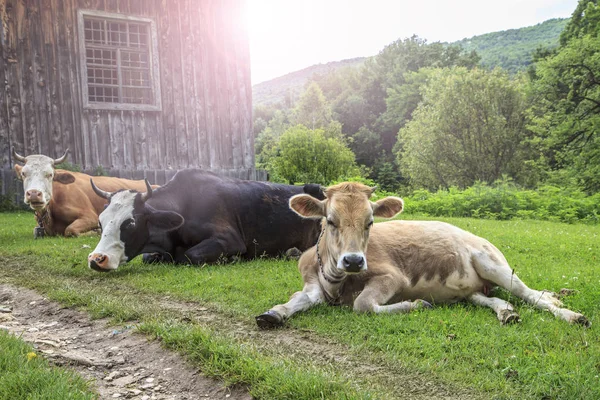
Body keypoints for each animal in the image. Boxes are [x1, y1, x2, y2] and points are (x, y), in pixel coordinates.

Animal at [13, 149, 157, 238]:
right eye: (24, 174)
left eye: (50, 174)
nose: (33, 194)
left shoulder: (90, 217)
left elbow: (70, 230)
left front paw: (97, 231)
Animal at [85, 170, 324, 272]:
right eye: (101, 222)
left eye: (130, 223)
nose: (97, 259)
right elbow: (148, 258)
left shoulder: (230, 239)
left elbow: (189, 256)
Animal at [255, 183, 588, 330]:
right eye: (330, 220)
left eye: (370, 222)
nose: (353, 261)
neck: (337, 282)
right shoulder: (313, 284)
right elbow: (296, 299)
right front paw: (273, 313)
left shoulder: (392, 277)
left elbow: (363, 304)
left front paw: (416, 304)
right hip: (471, 288)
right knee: (490, 298)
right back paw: (506, 312)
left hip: (493, 264)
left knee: (533, 294)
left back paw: (572, 316)